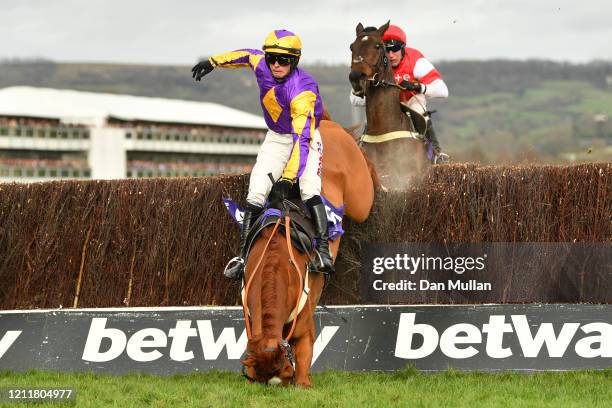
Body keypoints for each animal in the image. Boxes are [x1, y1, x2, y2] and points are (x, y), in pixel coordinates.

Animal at [240, 119, 378, 388]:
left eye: (284, 376)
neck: (276, 266)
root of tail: (325, 122)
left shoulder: (304, 327)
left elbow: (304, 369)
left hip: (360, 199)